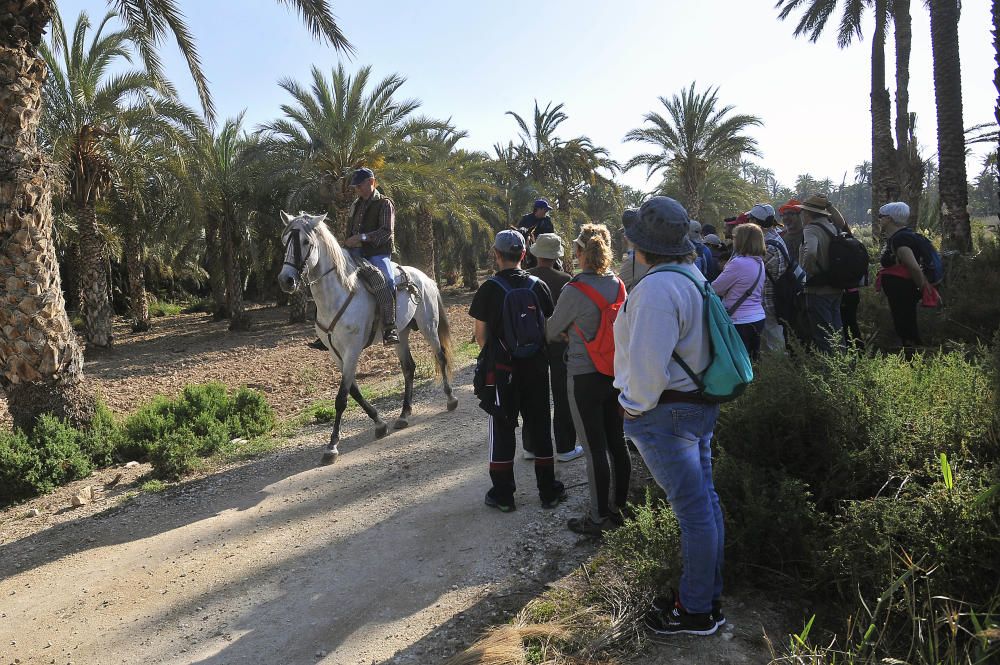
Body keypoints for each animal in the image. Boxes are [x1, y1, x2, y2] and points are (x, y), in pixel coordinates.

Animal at [276, 213, 458, 462]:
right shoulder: (336, 354)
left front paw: (332, 446)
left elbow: (342, 397)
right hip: (400, 334)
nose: (286, 280)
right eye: (285, 241)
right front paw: (379, 423)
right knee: (409, 367)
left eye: (306, 242)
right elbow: (353, 390)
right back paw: (404, 414)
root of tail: (425, 278)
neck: (336, 295)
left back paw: (450, 400)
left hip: (429, 326)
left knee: (440, 357)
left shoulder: (352, 350)